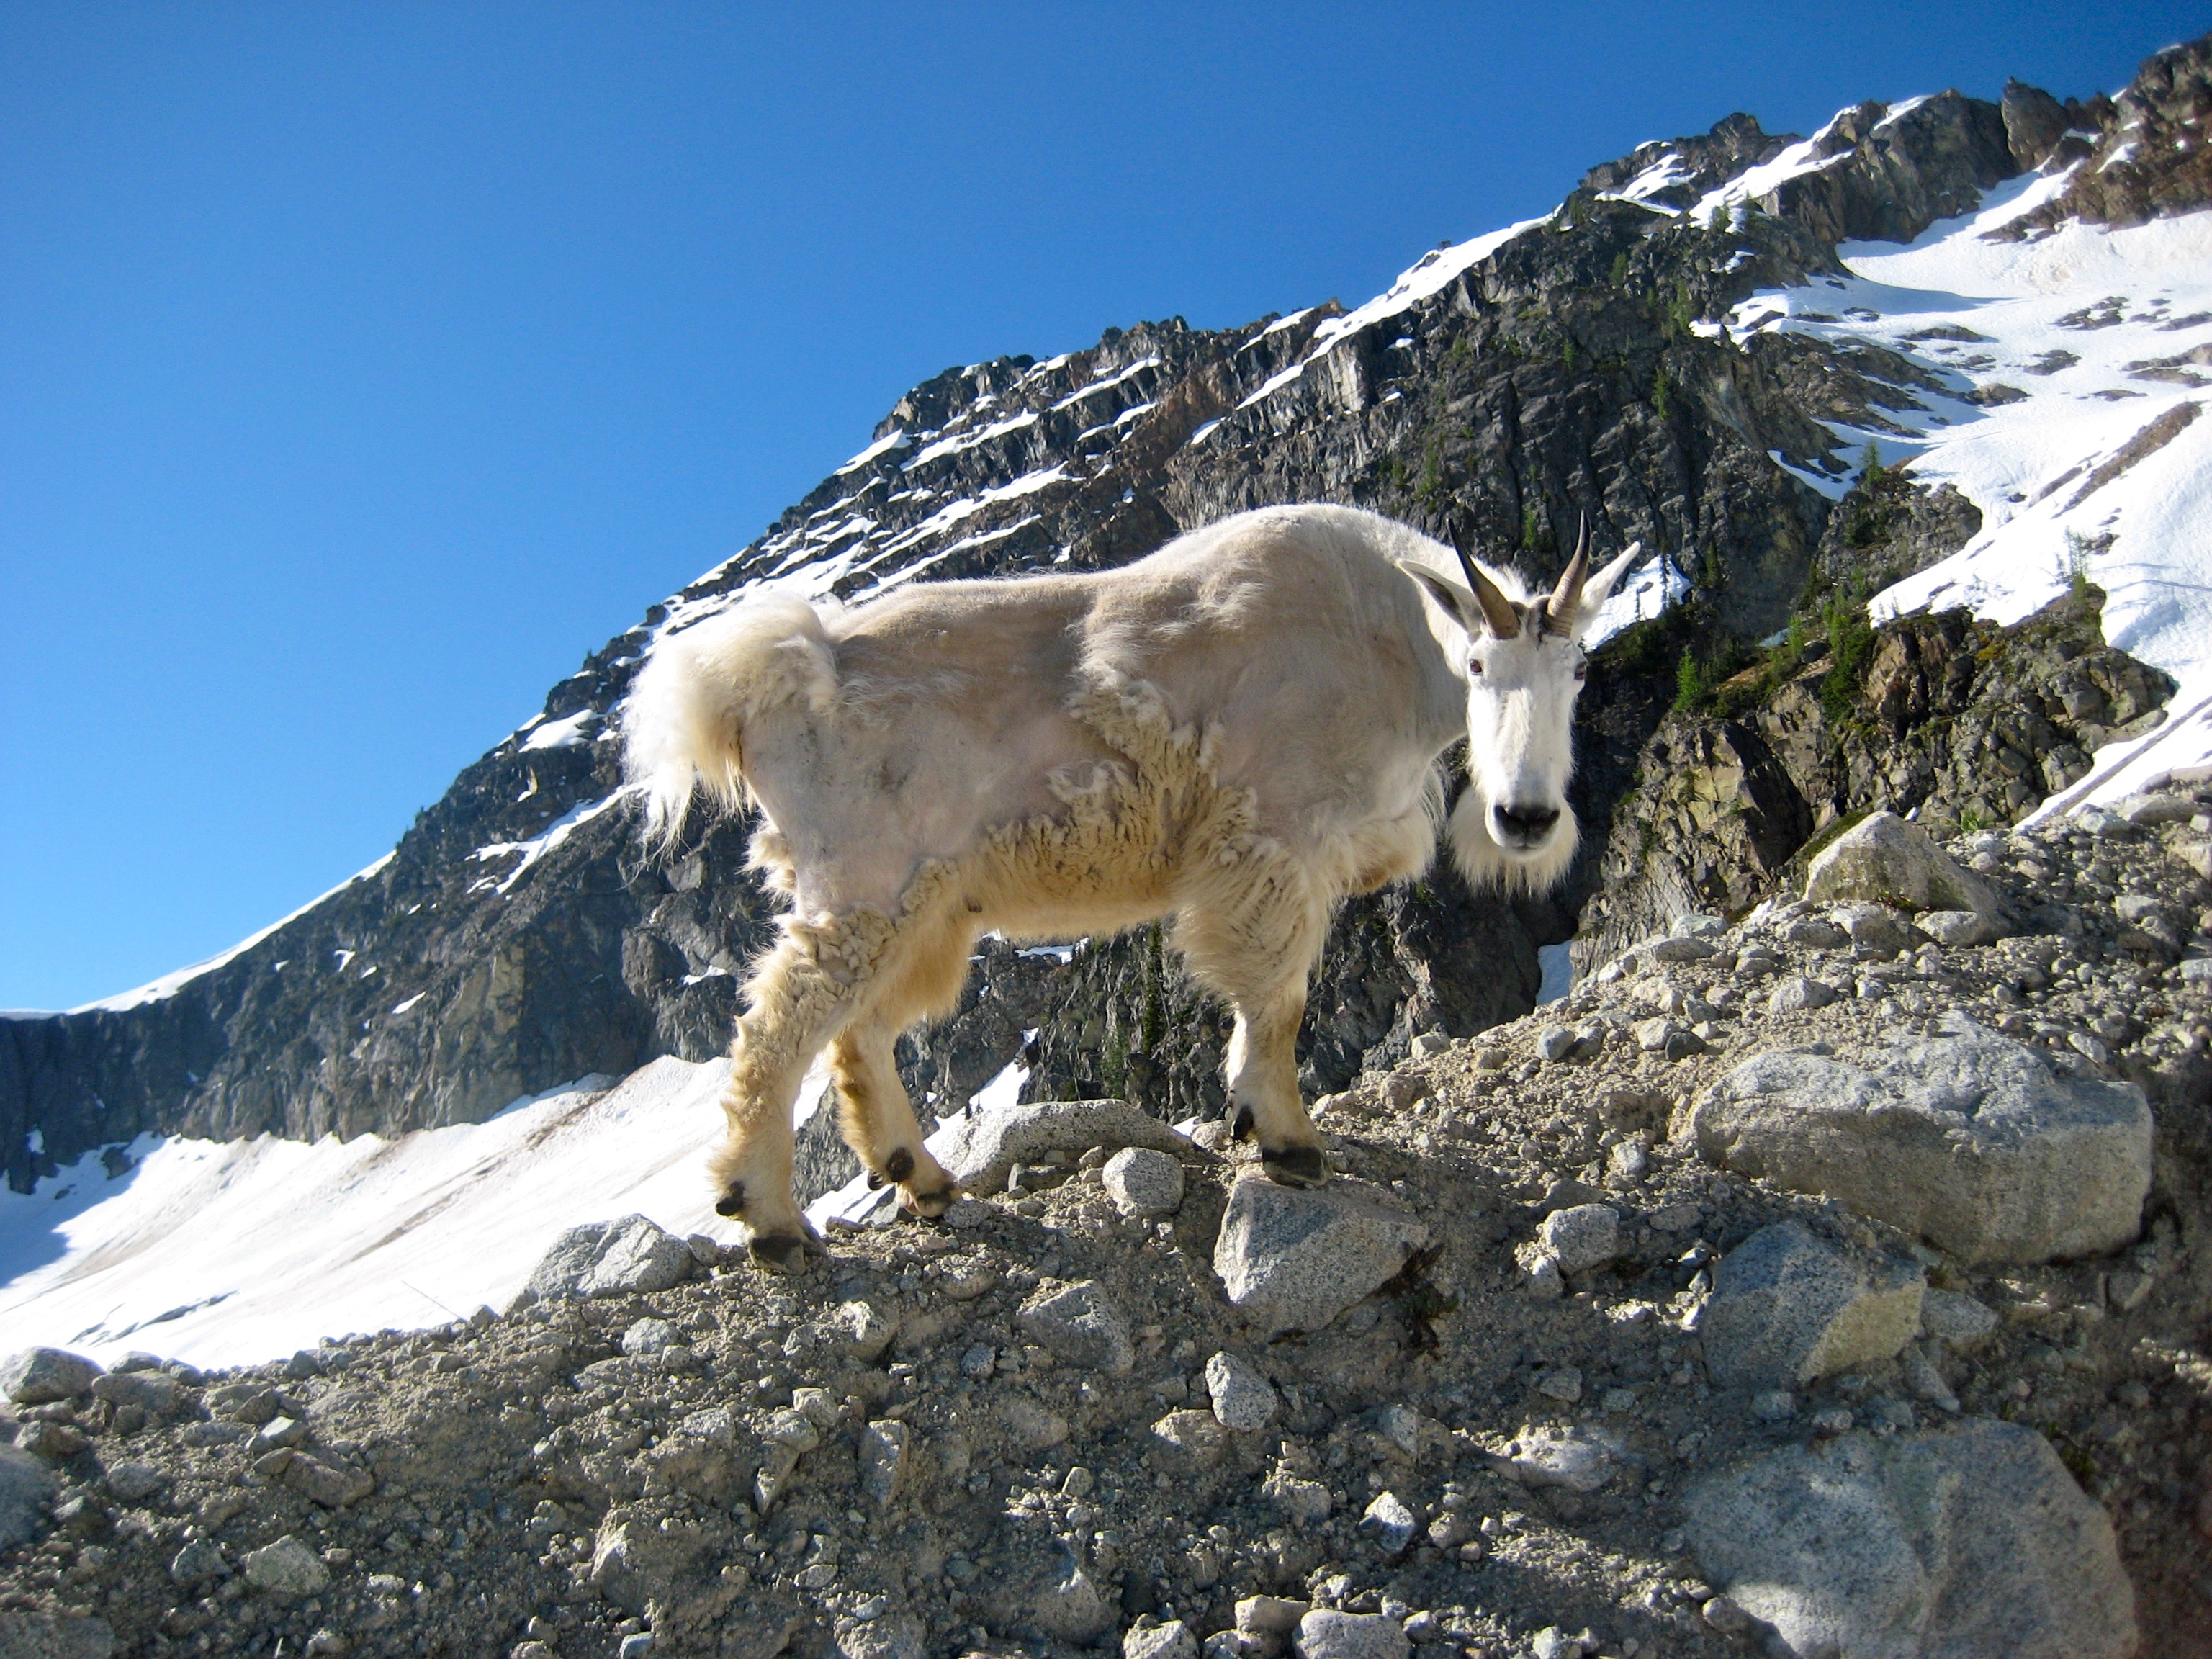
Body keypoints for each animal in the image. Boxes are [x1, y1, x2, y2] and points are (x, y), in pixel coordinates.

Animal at [624, 503, 1639, 1269]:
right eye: (1478, 665)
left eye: (1582, 668)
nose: (1525, 817)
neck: (1384, 639)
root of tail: (770, 680)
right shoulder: (1273, 838)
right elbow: (1278, 998)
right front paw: (1286, 1139)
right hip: (863, 880)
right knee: (781, 1022)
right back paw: (770, 1218)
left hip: (926, 904)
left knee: (859, 1029)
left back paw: (922, 1179)